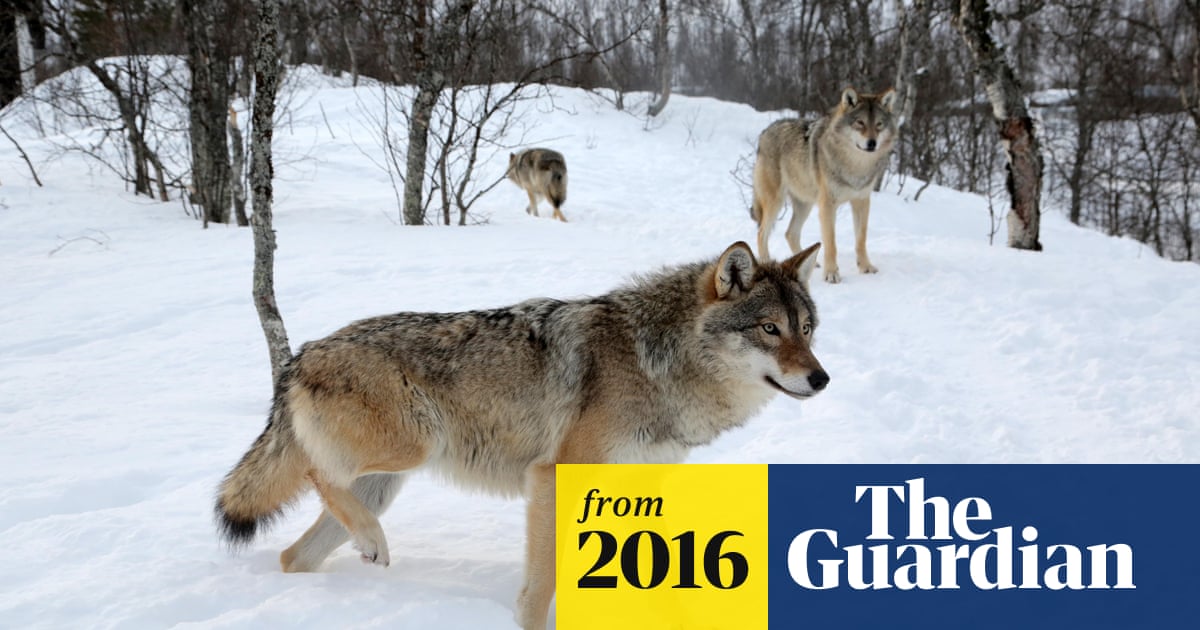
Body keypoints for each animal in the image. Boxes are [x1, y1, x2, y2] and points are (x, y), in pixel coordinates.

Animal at [214, 242, 828, 629]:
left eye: (806, 329)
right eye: (769, 329)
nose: (821, 379)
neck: (657, 362)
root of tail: (300, 355)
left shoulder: (632, 491)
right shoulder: (554, 477)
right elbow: (542, 584)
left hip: (386, 482)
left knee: (294, 554)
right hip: (415, 445)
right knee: (317, 471)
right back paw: (369, 543)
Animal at [750, 87, 897, 283]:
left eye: (879, 124)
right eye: (860, 123)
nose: (872, 143)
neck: (855, 166)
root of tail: (765, 131)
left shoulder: (862, 201)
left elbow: (861, 240)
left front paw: (865, 267)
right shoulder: (828, 204)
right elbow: (831, 243)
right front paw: (831, 273)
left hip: (805, 205)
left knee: (790, 233)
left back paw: (808, 265)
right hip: (776, 203)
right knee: (761, 234)